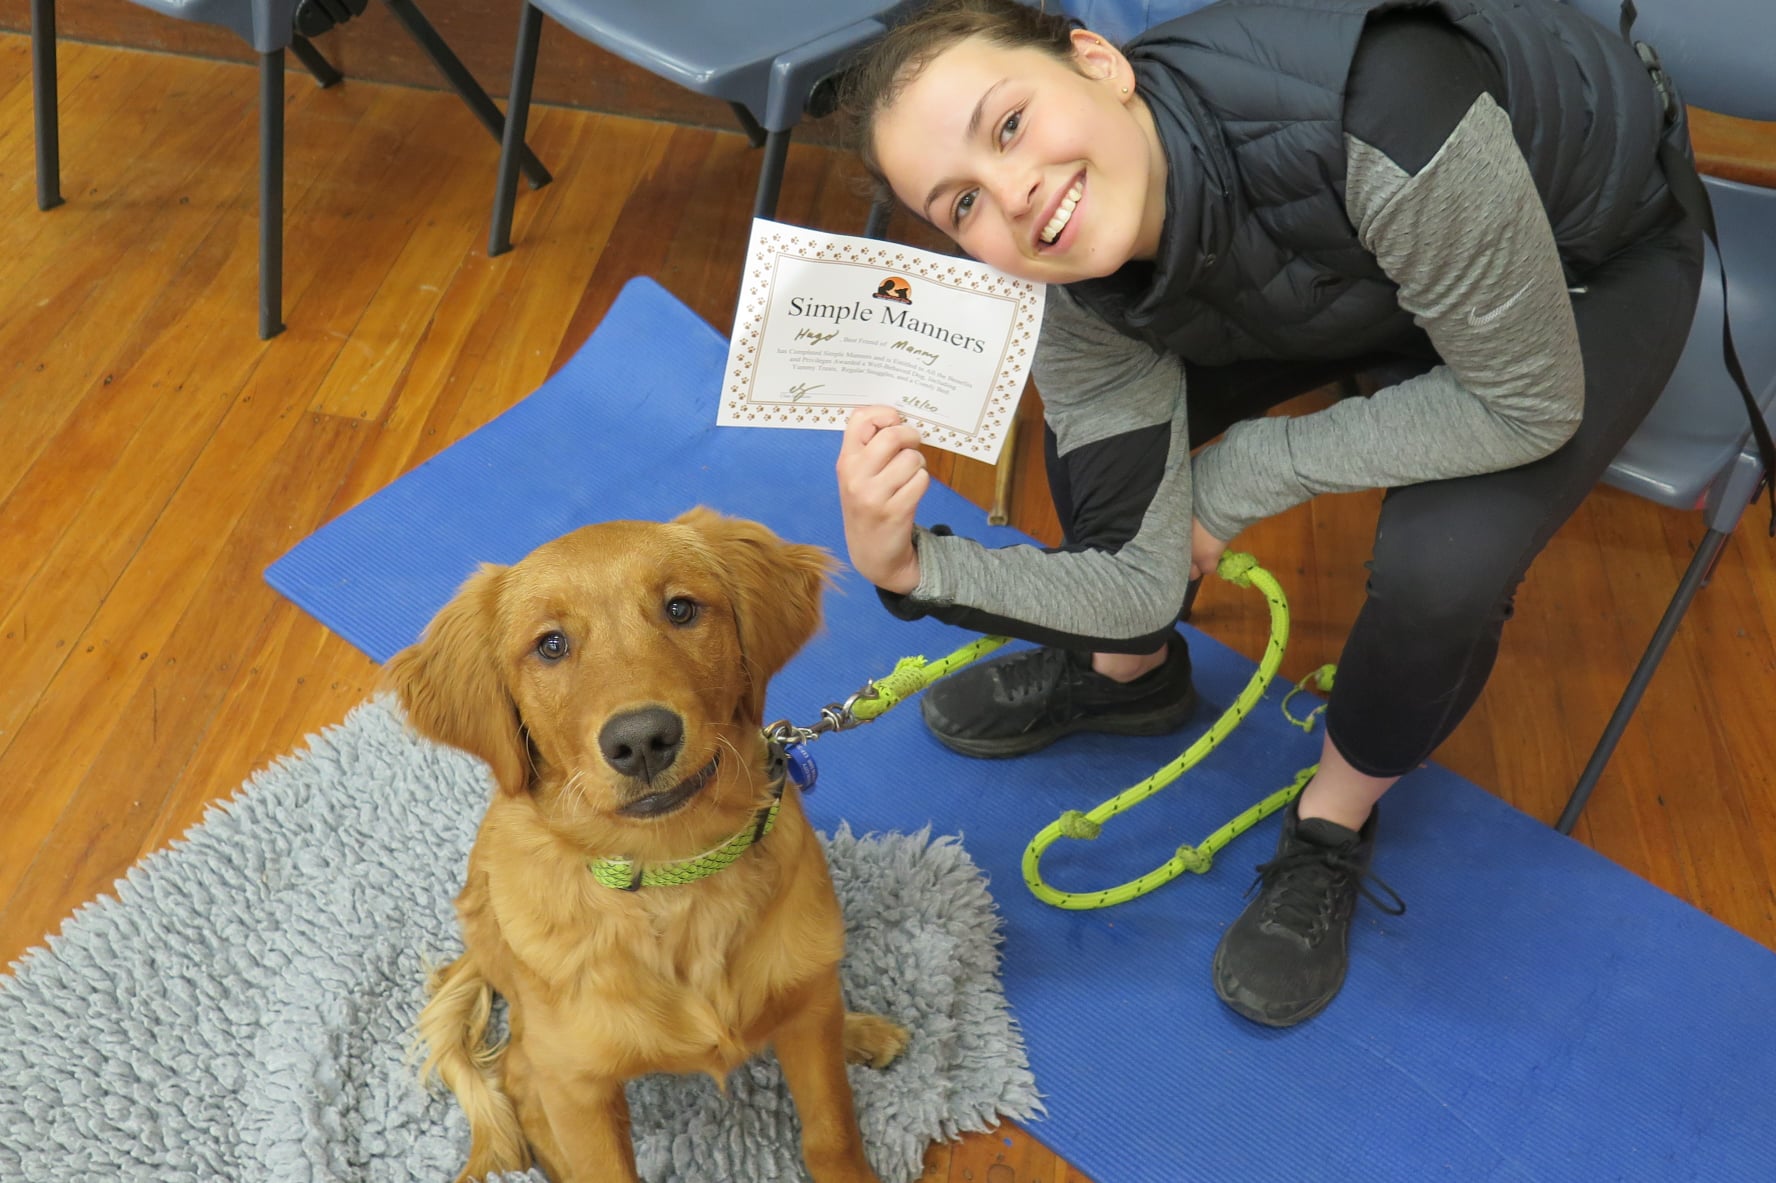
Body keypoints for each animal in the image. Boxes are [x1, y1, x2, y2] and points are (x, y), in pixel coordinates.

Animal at [394, 508, 909, 1179]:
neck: (673, 874)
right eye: (551, 645)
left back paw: (858, 1029)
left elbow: (832, 1133)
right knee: (518, 1075)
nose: (641, 740)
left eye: (681, 609)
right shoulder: (577, 1089)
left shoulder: (812, 1039)